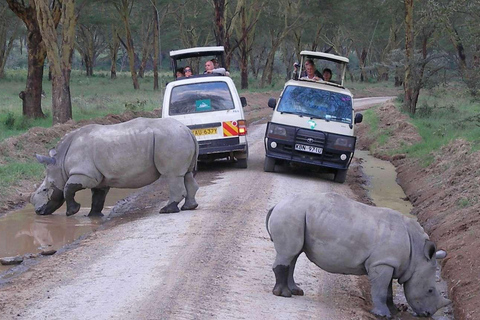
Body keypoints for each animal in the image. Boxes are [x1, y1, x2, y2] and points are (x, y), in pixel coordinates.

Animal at [31, 116, 199, 216]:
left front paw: (72, 212)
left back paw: (166, 210)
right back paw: (189, 207)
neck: (59, 163)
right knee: (186, 174)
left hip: (171, 138)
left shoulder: (85, 174)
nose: (39, 211)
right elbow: (97, 197)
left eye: (45, 190)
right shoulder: (99, 178)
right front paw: (93, 216)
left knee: (173, 175)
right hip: (178, 137)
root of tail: (189, 131)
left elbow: (68, 188)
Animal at [266, 192, 450, 318]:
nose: (427, 314)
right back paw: (284, 295)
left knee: (293, 255)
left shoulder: (389, 262)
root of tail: (277, 205)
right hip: (290, 214)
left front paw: (394, 311)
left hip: (295, 215)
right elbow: (381, 290)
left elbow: (388, 290)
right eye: (430, 290)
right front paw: (383, 315)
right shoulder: (381, 263)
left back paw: (296, 291)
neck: (418, 253)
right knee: (289, 253)